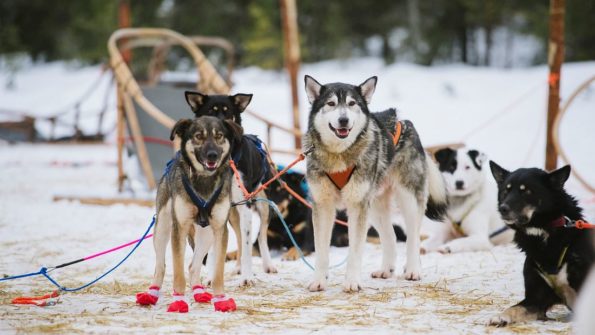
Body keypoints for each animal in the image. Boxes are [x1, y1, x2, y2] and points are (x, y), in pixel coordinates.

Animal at [488, 163, 595, 328]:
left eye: (526, 191)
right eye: (506, 190)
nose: (502, 209)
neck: (543, 233)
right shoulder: (536, 298)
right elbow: (515, 308)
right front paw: (501, 316)